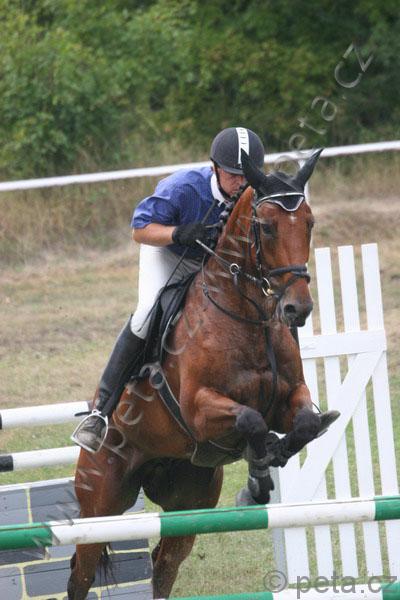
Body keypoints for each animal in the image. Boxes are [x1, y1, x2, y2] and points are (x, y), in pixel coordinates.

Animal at [67, 148, 339, 599]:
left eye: (310, 223)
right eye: (266, 227)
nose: (296, 309)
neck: (246, 317)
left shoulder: (290, 397)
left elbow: (303, 424)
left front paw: (266, 467)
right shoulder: (198, 409)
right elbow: (251, 420)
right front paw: (258, 470)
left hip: (189, 502)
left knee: (164, 564)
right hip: (101, 503)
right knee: (81, 573)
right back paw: (93, 425)